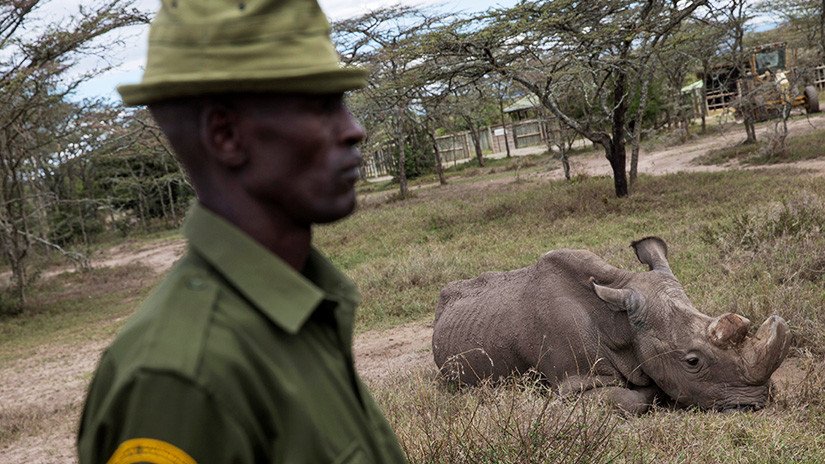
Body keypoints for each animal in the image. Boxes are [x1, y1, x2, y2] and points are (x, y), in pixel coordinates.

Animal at [431, 237, 790, 414]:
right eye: (692, 361)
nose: (757, 402)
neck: (620, 323)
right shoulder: (573, 385)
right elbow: (631, 399)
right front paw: (649, 391)